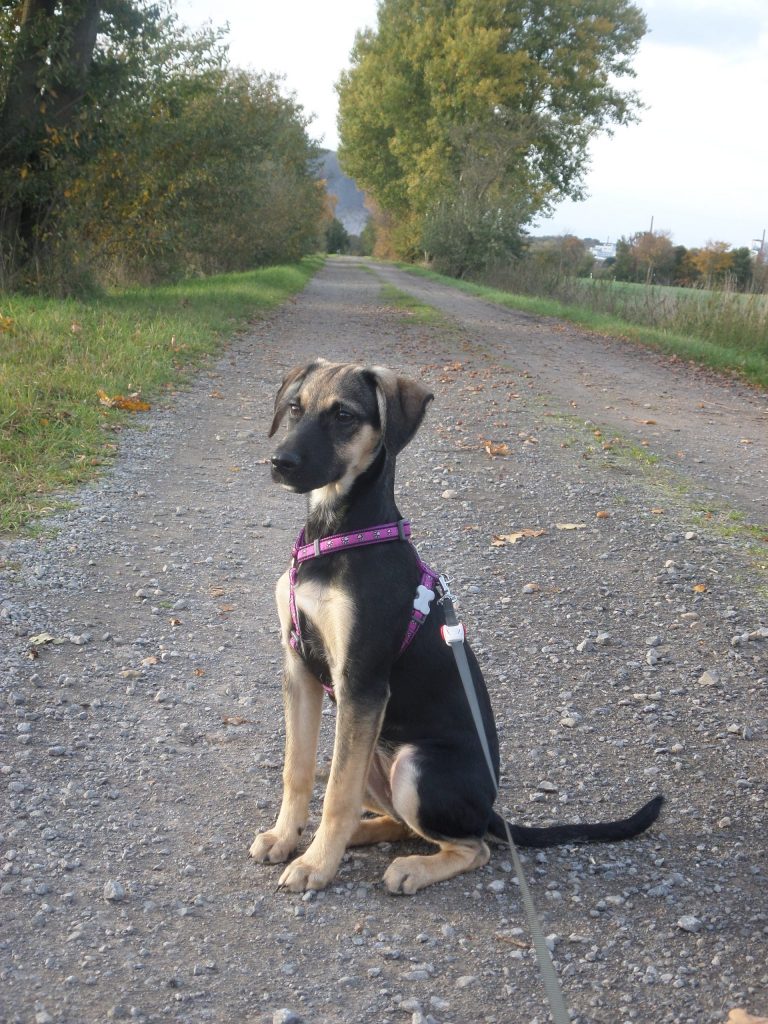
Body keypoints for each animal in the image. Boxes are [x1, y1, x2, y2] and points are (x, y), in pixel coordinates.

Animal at [249, 359, 663, 894]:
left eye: (343, 415)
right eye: (295, 407)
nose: (279, 462)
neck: (338, 534)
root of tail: (489, 808)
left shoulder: (361, 682)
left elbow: (337, 793)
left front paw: (316, 865)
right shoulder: (299, 668)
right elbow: (297, 769)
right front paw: (285, 838)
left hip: (413, 766)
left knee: (473, 846)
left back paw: (407, 866)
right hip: (377, 753)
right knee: (403, 822)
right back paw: (361, 835)